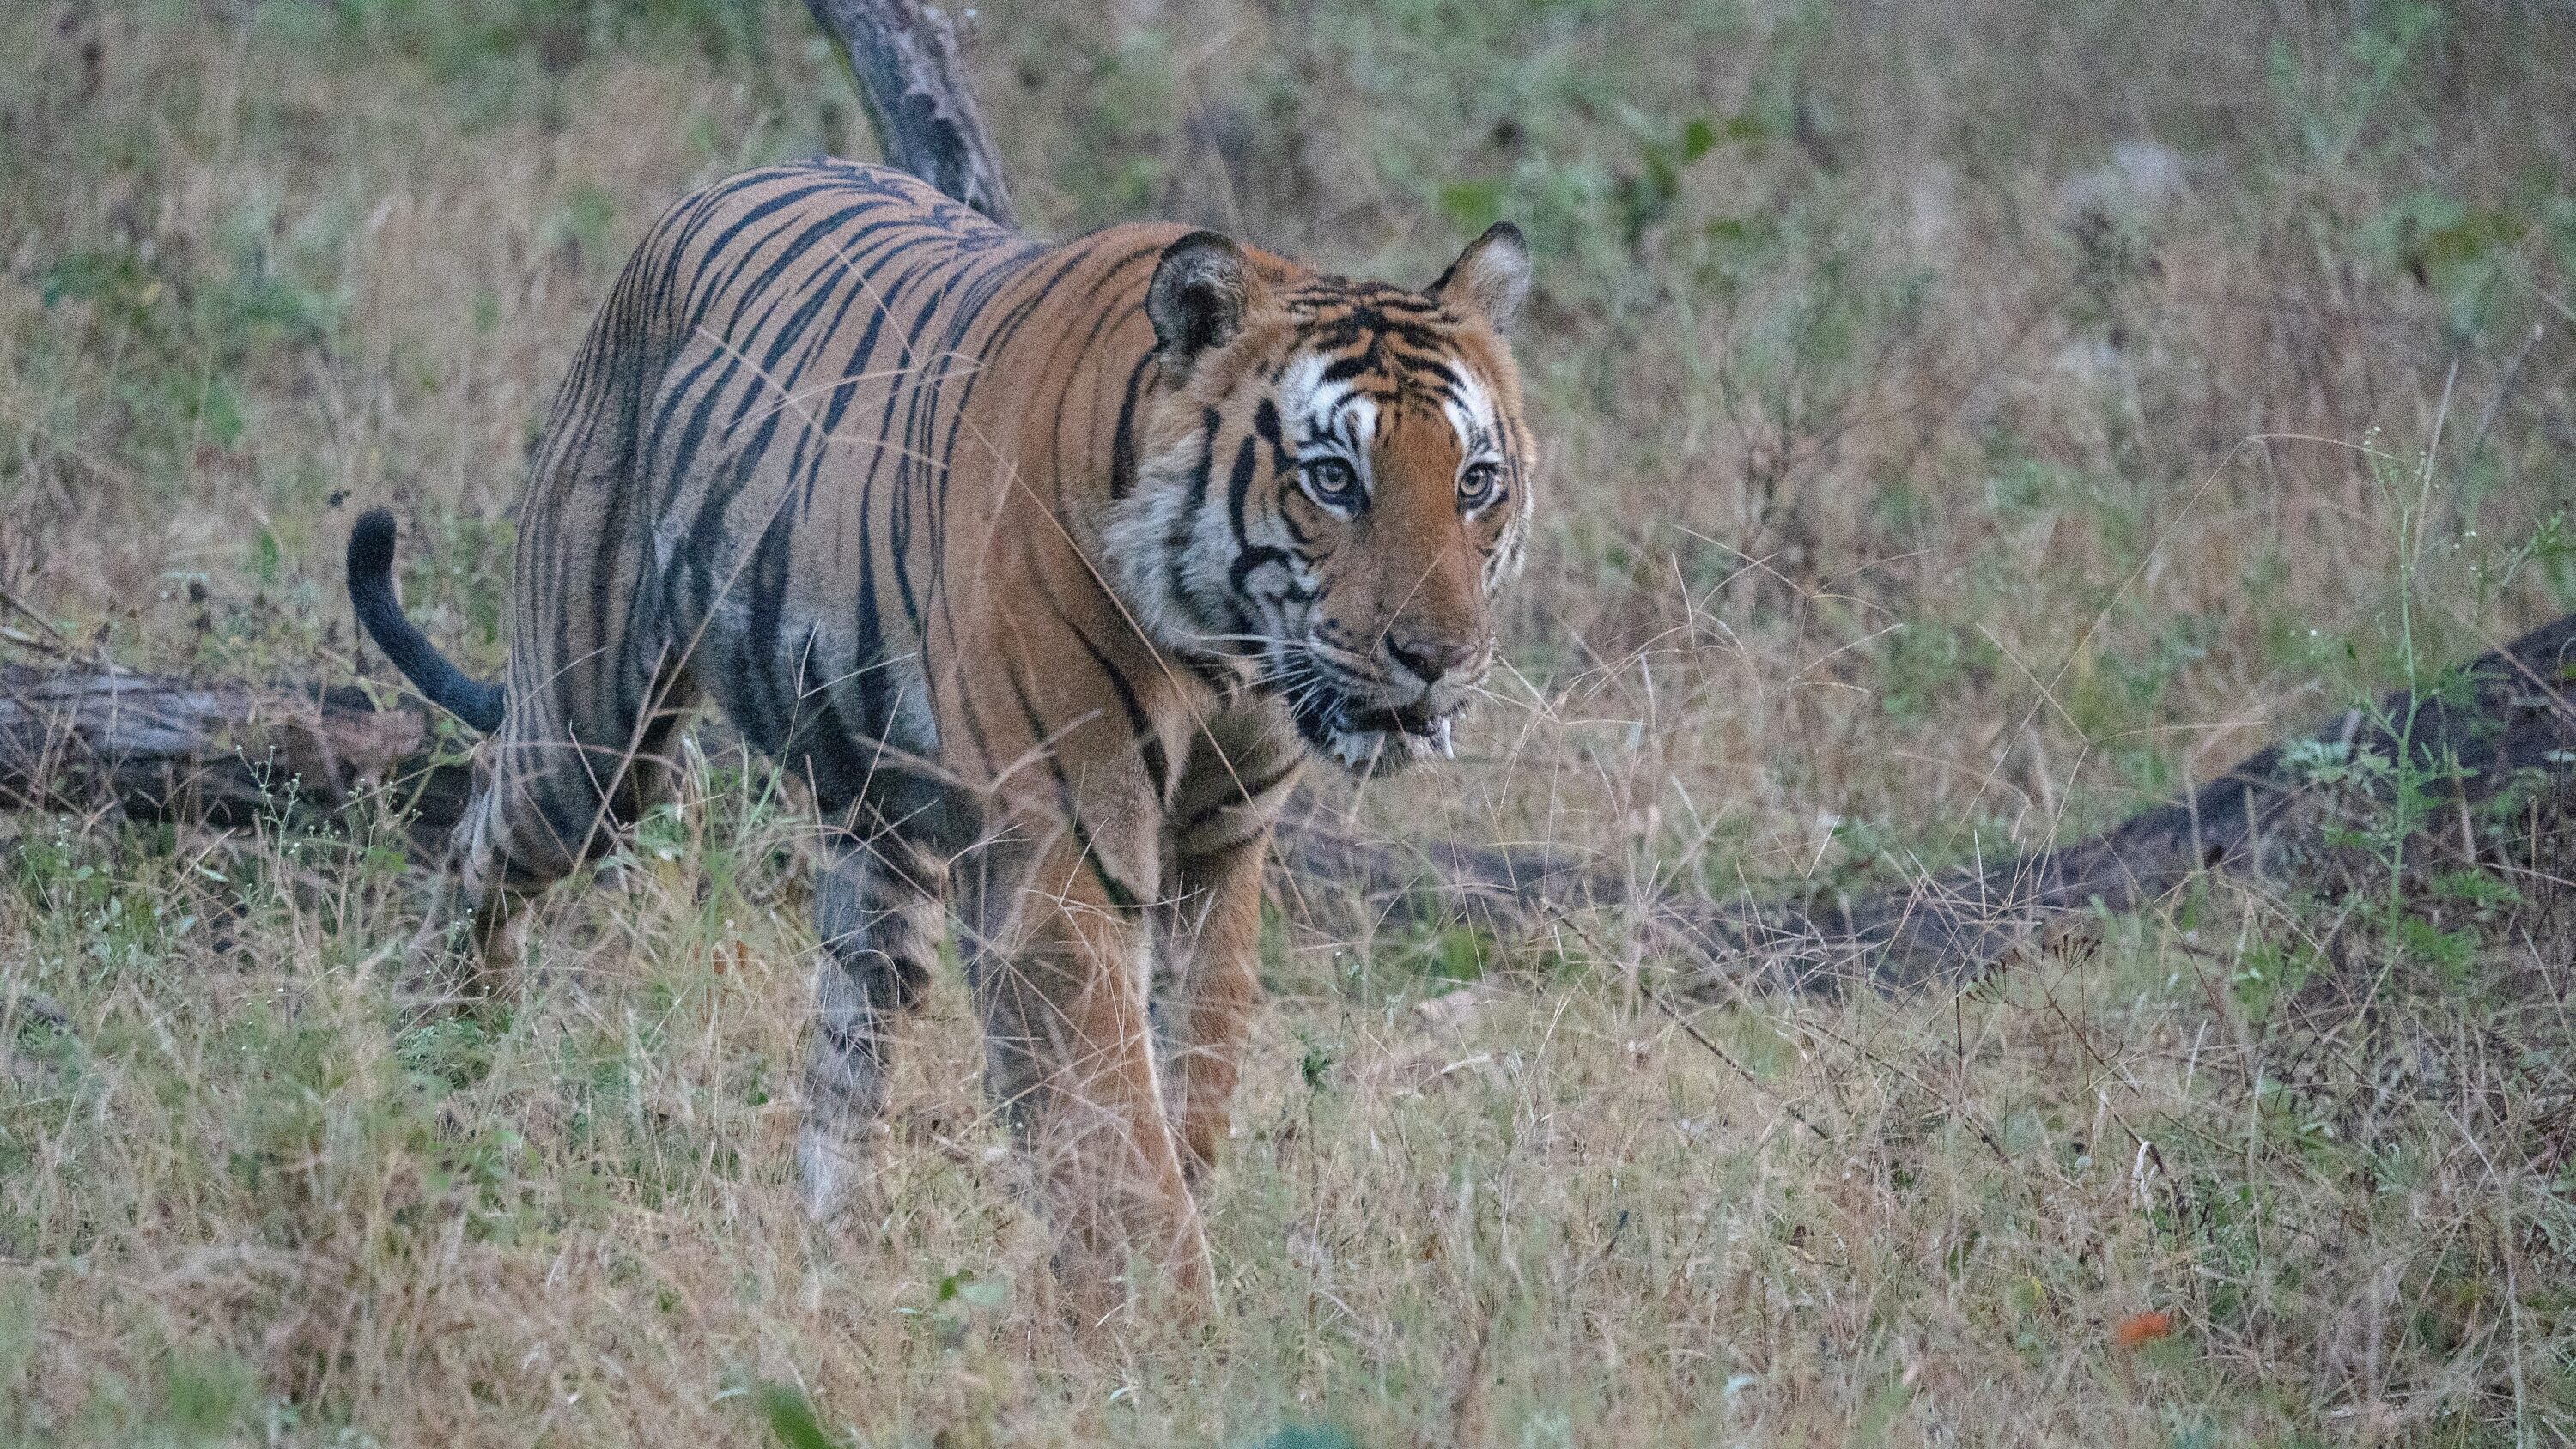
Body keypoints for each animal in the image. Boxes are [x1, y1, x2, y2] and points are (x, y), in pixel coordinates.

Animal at [346, 159, 1536, 1321]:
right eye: (1334, 478)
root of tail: (703, 190)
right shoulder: (1065, 859)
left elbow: (1191, 1082)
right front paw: (1169, 1330)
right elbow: (1113, 1127)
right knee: (482, 845)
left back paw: (834, 1260)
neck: (1227, 649)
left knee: (849, 1031)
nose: (1440, 656)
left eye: (1475, 481)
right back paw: (438, 1054)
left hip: (879, 829)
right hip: (589, 739)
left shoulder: (1221, 845)